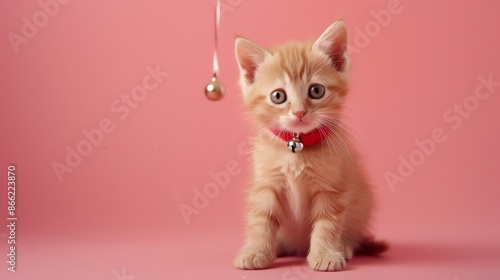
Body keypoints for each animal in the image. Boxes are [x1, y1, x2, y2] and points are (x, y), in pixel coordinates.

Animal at [233, 20, 386, 270]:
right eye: (278, 96)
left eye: (316, 90)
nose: (299, 112)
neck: (297, 148)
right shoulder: (267, 183)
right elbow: (261, 219)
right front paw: (255, 251)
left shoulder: (332, 187)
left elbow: (327, 223)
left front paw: (325, 255)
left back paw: (344, 246)